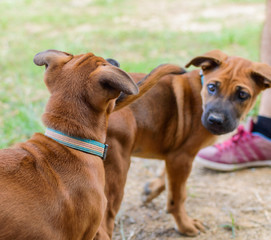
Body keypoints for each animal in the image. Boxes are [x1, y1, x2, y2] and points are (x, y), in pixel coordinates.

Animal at [95, 49, 271, 238]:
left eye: (242, 95)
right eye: (212, 88)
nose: (215, 120)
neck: (201, 89)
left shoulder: (174, 156)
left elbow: (167, 178)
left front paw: (151, 189)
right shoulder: (182, 157)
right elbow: (177, 197)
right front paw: (185, 226)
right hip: (118, 167)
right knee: (104, 220)